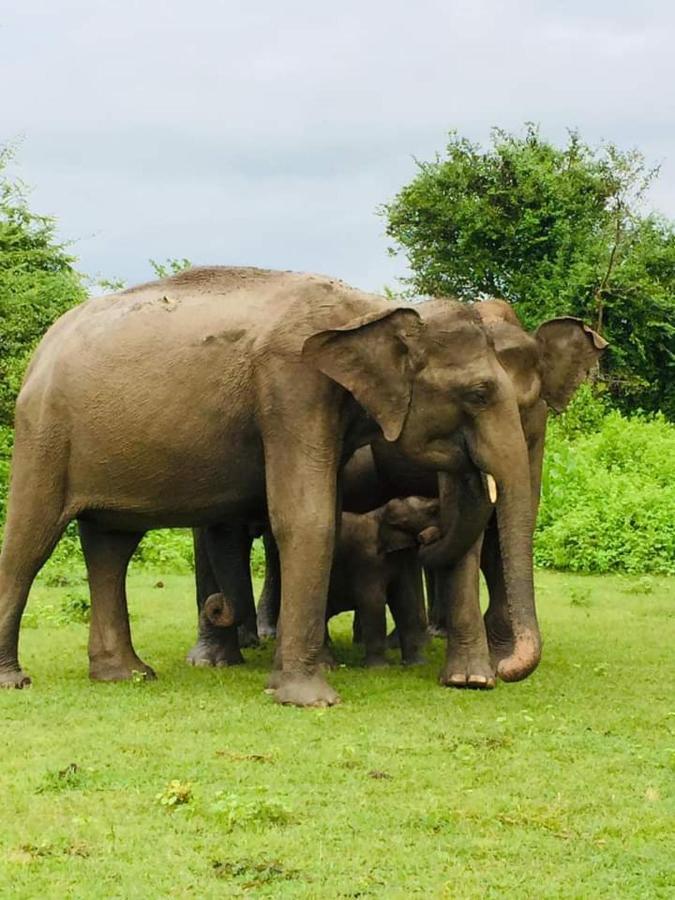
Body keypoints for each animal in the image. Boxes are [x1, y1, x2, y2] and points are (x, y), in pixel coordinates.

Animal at [0, 268, 540, 712]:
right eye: (479, 393)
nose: (510, 669)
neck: (370, 311)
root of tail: (41, 350)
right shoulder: (290, 388)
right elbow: (307, 518)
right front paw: (312, 700)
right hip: (44, 435)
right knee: (30, 542)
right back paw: (15, 681)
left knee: (111, 547)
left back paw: (125, 675)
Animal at [252, 302, 608, 688]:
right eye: (475, 397)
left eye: (524, 403)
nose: (507, 669)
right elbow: (476, 539)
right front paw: (473, 677)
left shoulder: (536, 430)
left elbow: (510, 527)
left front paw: (496, 658)